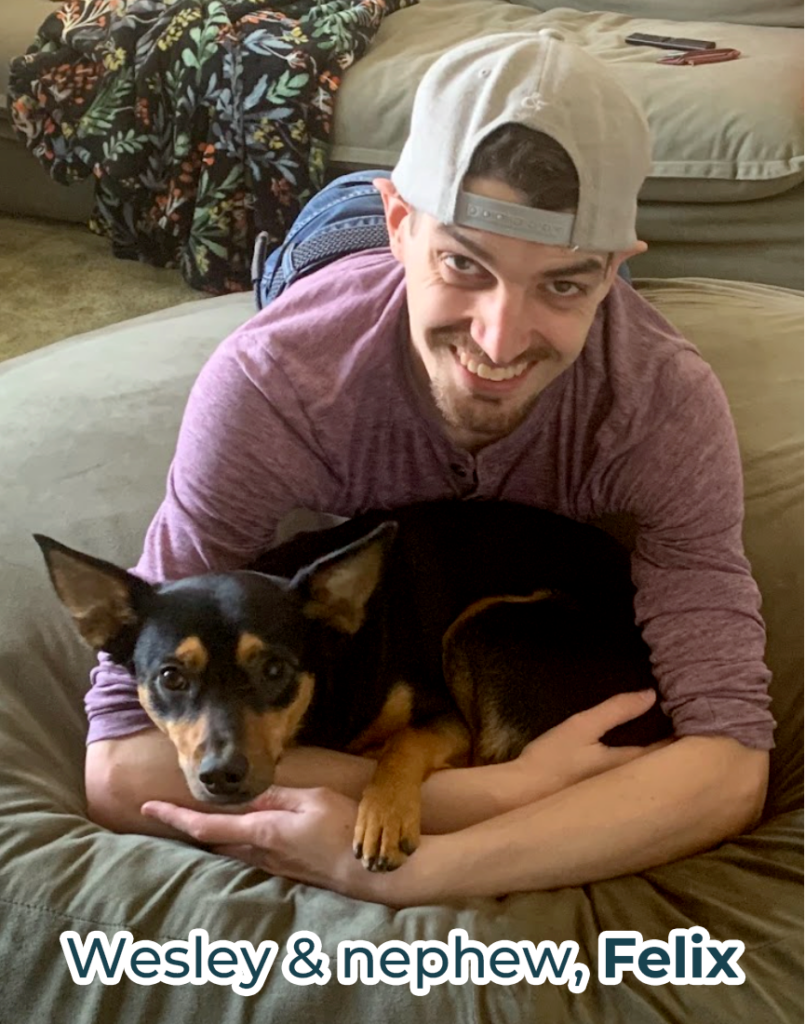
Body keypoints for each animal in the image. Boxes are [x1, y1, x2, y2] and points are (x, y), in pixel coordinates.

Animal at [34, 499, 667, 868]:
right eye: (171, 678)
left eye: (274, 670)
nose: (222, 775)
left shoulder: (444, 714)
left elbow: (404, 741)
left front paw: (384, 813)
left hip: (486, 621)